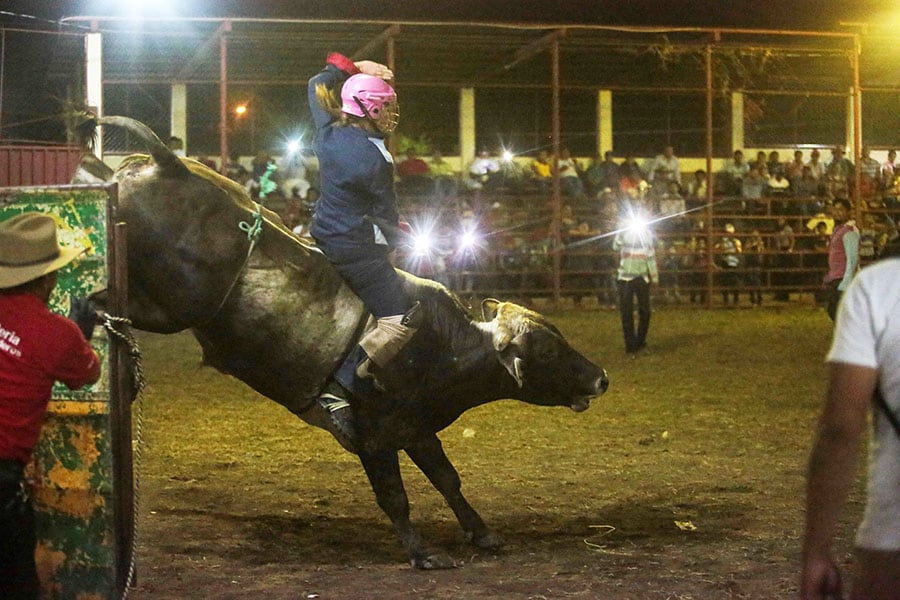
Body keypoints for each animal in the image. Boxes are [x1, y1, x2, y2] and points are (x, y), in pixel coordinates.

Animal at [88, 115, 608, 568]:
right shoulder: (374, 436)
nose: (601, 378)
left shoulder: (416, 427)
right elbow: (395, 498)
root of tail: (169, 164)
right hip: (174, 306)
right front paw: (422, 555)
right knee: (104, 300)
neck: (448, 349)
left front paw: (481, 533)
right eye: (547, 351)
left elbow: (448, 479)